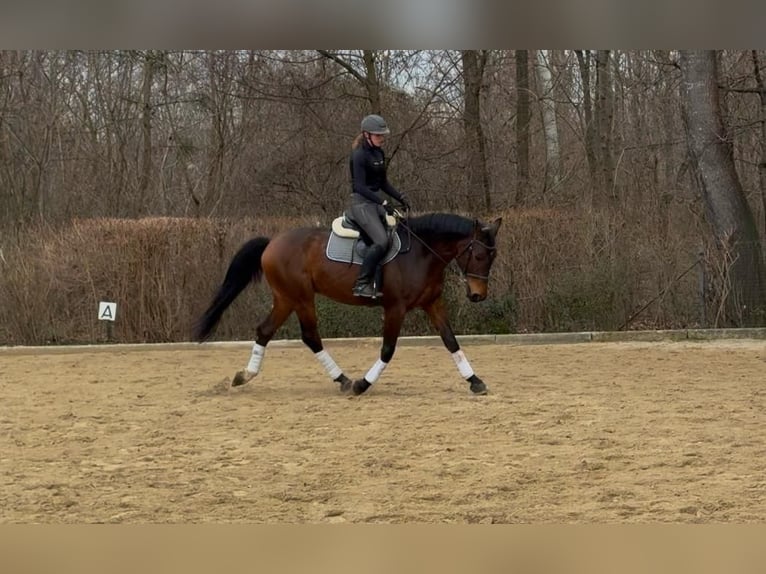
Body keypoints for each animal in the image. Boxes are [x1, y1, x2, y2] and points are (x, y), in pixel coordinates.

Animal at [192, 210, 504, 396]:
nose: (478, 295)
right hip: (300, 297)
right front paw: (363, 384)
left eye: (493, 257)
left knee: (265, 331)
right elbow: (388, 349)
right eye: (478, 255)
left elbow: (451, 341)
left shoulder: (432, 303)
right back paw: (343, 380)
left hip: (286, 298)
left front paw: (475, 381)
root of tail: (272, 243)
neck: (421, 252)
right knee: (310, 336)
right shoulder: (395, 308)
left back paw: (245, 376)